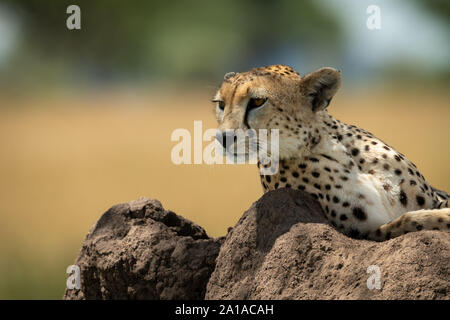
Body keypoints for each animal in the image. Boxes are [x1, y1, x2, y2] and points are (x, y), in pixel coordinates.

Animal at [213, 64, 448, 240]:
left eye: (257, 101)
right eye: (221, 104)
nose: (223, 138)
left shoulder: (435, 198)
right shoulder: (362, 232)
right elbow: (409, 221)